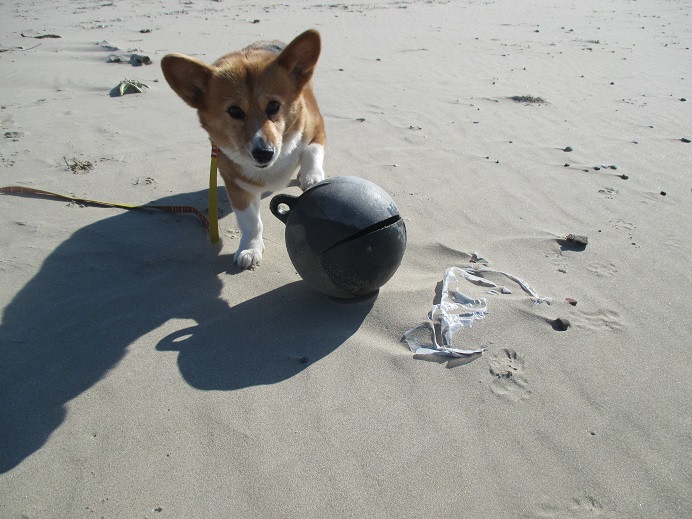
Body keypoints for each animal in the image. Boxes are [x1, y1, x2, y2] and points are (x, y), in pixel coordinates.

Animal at [161, 29, 326, 268]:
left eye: (273, 106)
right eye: (234, 111)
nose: (264, 153)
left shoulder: (317, 129)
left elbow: (312, 152)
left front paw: (311, 177)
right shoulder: (237, 185)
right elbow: (251, 221)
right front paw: (250, 249)